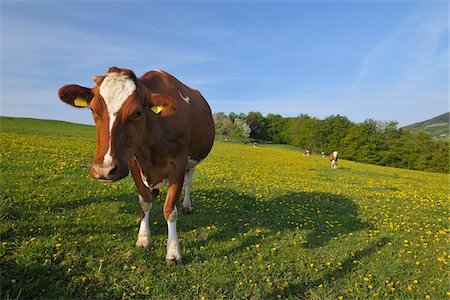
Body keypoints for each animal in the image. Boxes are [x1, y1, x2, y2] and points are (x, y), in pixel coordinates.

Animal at [58, 66, 216, 262]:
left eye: (138, 112)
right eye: (92, 109)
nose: (103, 169)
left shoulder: (178, 165)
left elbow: (170, 210)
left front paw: (173, 252)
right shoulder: (133, 163)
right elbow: (144, 202)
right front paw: (143, 239)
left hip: (193, 161)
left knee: (189, 181)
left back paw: (187, 205)